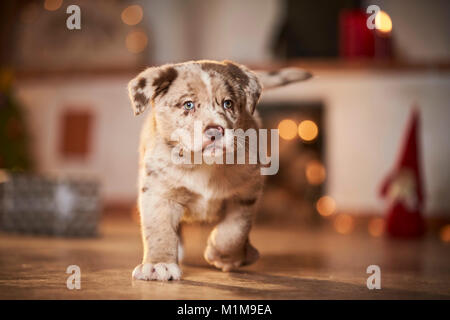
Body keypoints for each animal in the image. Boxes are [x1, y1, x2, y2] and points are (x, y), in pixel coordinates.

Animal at [126, 60, 310, 280]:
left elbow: (234, 231)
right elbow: (158, 229)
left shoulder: (246, 193)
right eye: (188, 105)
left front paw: (223, 256)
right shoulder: (158, 191)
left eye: (228, 103)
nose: (215, 131)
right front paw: (159, 265)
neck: (203, 163)